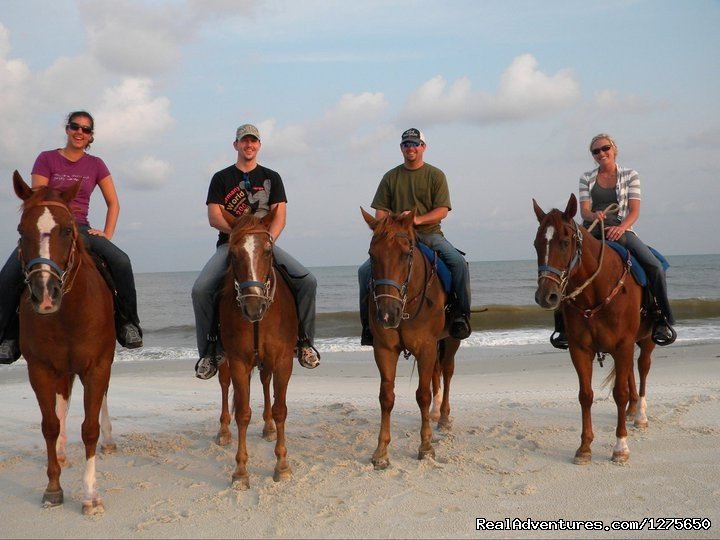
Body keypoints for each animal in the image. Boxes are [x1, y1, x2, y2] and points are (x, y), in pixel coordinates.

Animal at [12, 171, 115, 512]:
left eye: (67, 230)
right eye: (21, 230)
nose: (45, 294)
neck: (67, 315)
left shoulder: (97, 366)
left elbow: (90, 428)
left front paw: (91, 495)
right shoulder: (40, 369)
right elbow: (50, 423)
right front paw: (53, 488)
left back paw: (109, 441)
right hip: (62, 370)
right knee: (63, 404)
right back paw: (60, 450)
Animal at [217, 209, 296, 488]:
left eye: (268, 251)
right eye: (232, 254)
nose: (253, 307)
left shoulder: (283, 361)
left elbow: (281, 409)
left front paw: (282, 465)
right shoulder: (239, 361)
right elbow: (242, 412)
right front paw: (240, 471)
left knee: (264, 381)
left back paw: (269, 427)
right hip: (224, 361)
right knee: (225, 384)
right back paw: (223, 430)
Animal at [360, 207, 462, 468]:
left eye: (406, 254)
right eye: (371, 255)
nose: (387, 314)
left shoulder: (426, 347)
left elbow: (422, 395)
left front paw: (425, 447)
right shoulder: (384, 350)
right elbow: (386, 397)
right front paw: (381, 452)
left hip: (451, 340)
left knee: (447, 372)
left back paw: (443, 417)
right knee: (437, 373)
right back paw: (436, 414)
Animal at [532, 194, 656, 464]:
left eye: (565, 242)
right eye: (536, 244)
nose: (546, 296)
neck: (595, 292)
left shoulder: (623, 344)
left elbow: (619, 393)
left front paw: (620, 447)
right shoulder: (580, 349)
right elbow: (585, 395)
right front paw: (584, 447)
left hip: (646, 340)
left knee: (642, 368)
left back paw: (640, 414)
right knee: (629, 373)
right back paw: (632, 409)